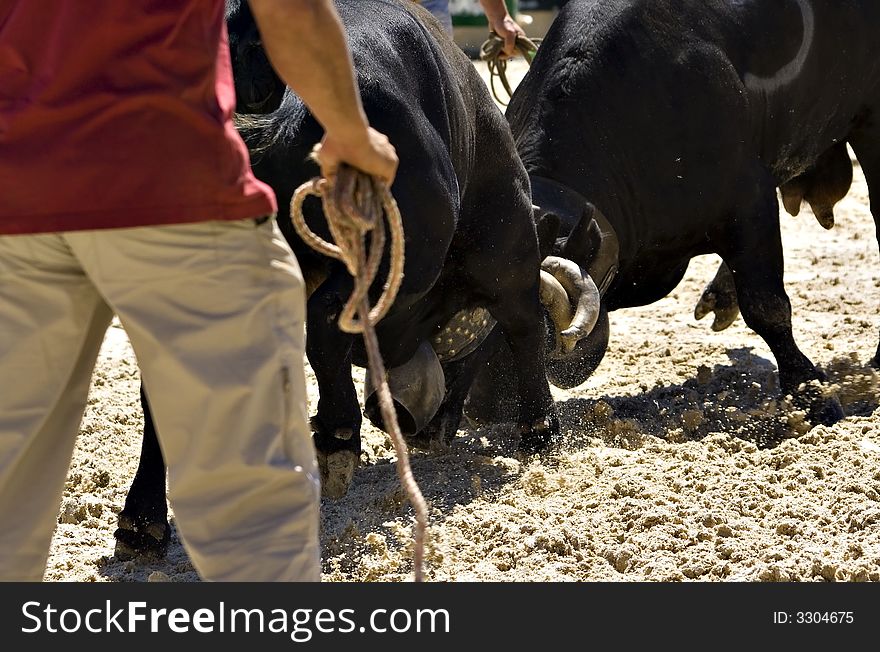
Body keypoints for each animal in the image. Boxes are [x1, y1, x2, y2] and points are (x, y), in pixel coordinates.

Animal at [110, 1, 600, 560]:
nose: (431, 430)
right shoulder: (506, 244)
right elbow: (522, 327)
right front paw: (542, 431)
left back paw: (143, 519)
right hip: (408, 250)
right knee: (328, 321)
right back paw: (337, 436)